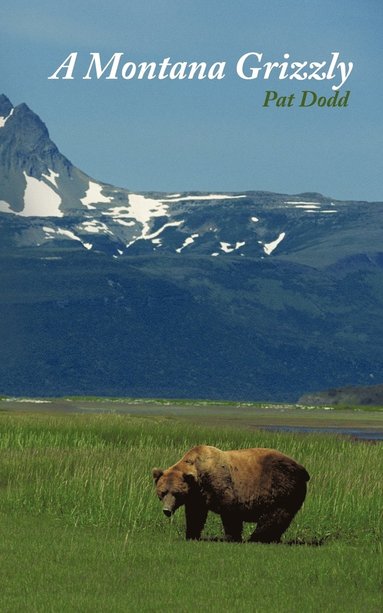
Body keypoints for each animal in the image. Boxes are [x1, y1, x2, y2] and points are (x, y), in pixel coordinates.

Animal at [152, 444, 308, 540]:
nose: (167, 510)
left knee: (275, 515)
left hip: (281, 487)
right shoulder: (197, 496)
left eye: (176, 493)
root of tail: (302, 469)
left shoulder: (221, 484)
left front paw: (232, 537)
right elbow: (195, 515)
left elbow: (230, 511)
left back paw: (257, 538)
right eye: (163, 492)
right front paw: (191, 535)